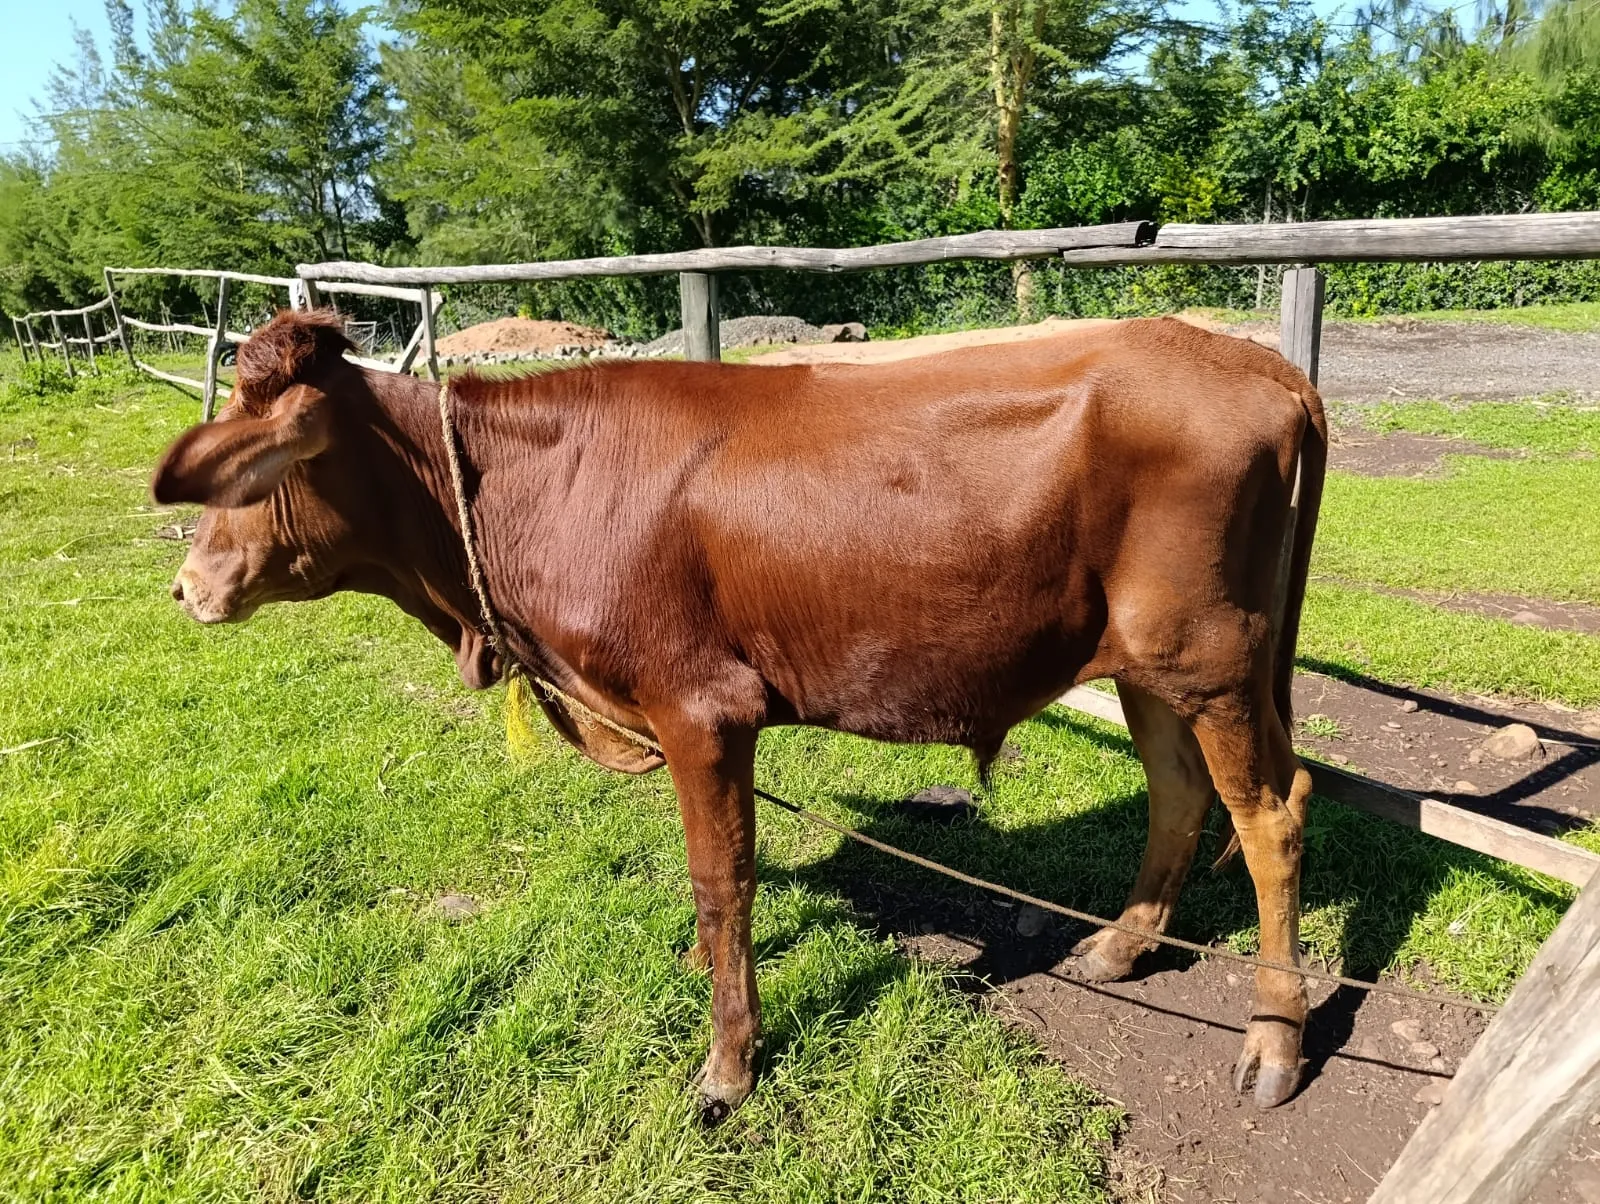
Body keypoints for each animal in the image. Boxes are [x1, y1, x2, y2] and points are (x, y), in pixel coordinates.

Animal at [154, 309, 1326, 1120]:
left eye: (253, 473)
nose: (186, 588)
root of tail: (1257, 364)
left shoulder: (701, 709)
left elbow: (723, 881)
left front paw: (726, 1064)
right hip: (1152, 663)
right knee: (1181, 795)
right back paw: (1120, 951)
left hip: (1211, 655)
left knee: (1272, 817)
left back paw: (1273, 1043)